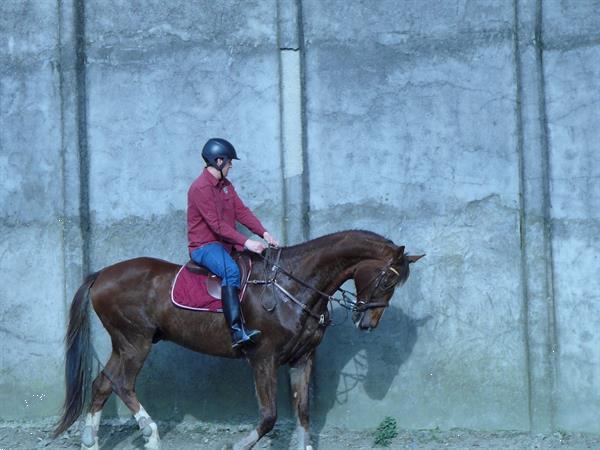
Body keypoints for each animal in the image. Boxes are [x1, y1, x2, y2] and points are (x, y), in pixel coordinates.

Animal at [54, 230, 424, 448]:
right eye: (387, 280)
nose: (367, 322)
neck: (292, 287)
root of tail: (101, 275)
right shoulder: (263, 359)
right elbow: (269, 415)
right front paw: (240, 444)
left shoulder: (302, 358)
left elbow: (303, 412)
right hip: (136, 342)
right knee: (122, 383)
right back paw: (151, 434)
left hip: (126, 343)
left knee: (103, 383)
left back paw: (90, 440)